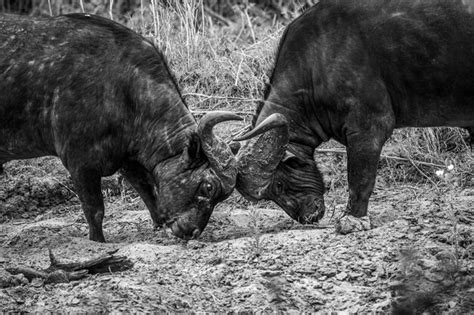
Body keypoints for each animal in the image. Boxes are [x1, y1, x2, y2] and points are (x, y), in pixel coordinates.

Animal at [0, 13, 244, 243]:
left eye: (222, 197)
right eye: (208, 188)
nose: (192, 232)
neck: (123, 90)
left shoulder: (127, 159)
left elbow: (148, 190)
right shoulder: (80, 166)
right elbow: (95, 210)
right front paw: (97, 241)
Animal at [235, 0, 474, 232]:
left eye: (278, 185)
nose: (307, 216)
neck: (317, 62)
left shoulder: (368, 129)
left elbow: (360, 178)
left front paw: (352, 219)